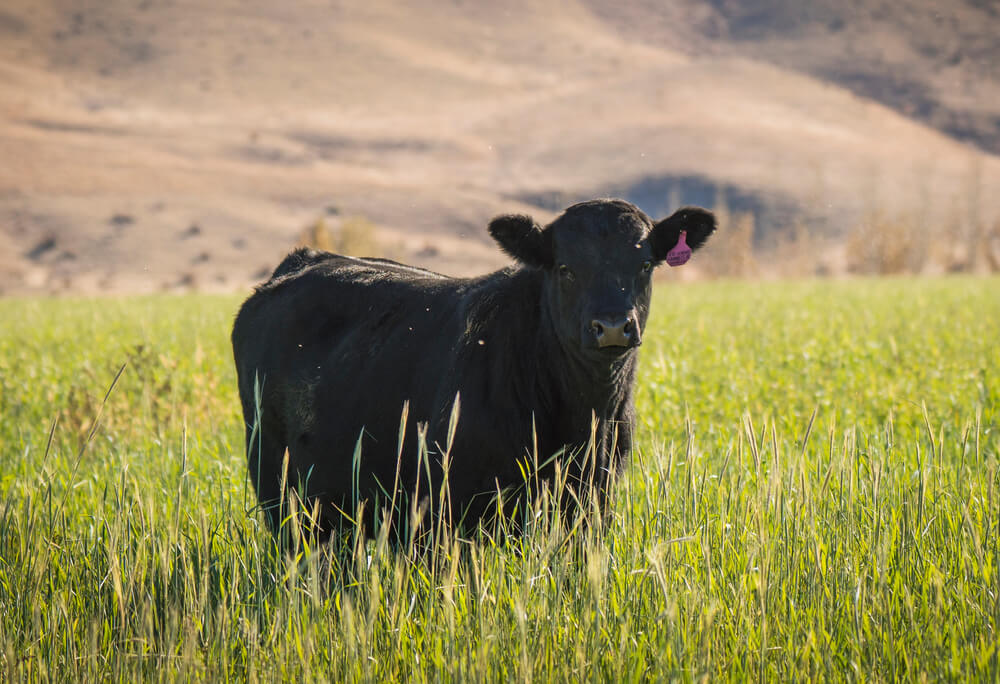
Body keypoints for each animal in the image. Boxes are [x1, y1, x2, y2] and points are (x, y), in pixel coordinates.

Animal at [232, 199, 720, 544]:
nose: (613, 325)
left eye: (644, 265)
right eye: (566, 268)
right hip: (277, 485)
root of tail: (305, 259)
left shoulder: (592, 503)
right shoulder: (449, 511)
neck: (583, 417)